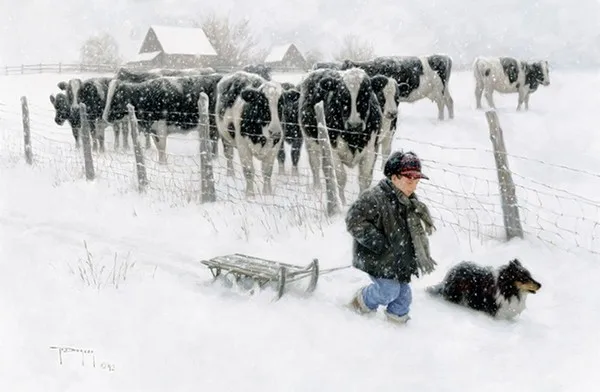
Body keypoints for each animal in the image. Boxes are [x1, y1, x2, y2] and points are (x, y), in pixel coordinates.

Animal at [298, 66, 384, 205]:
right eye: (342, 95)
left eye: (367, 95)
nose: (355, 125)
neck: (353, 137)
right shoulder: (332, 149)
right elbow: (341, 177)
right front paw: (342, 203)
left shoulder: (372, 149)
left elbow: (365, 179)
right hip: (310, 140)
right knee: (315, 164)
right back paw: (317, 188)